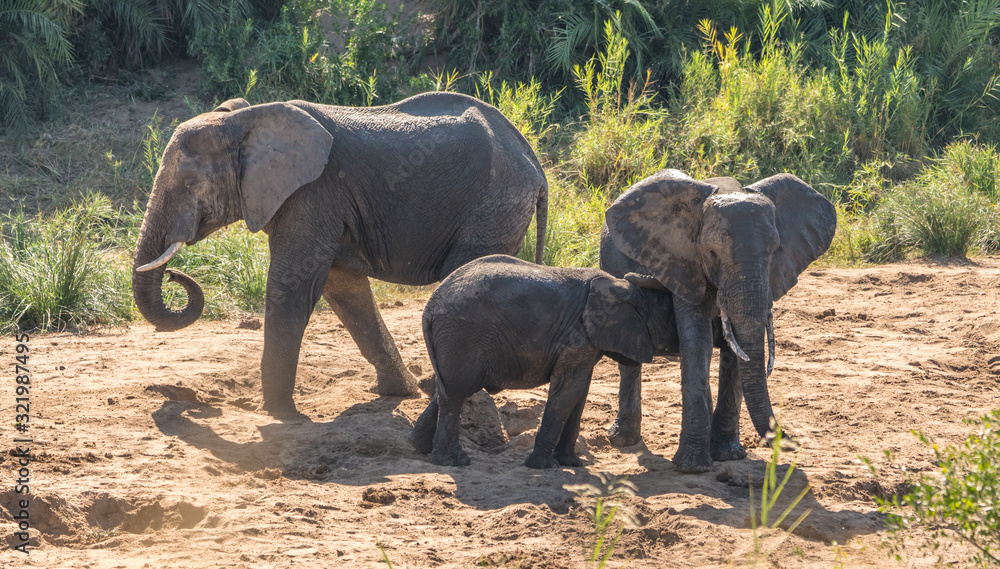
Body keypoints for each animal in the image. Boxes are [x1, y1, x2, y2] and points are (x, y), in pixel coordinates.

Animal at [132, 92, 548, 419]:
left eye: (190, 184)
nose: (174, 275)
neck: (244, 120)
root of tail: (534, 164)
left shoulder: (313, 192)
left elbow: (292, 286)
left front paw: (278, 414)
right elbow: (344, 288)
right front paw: (399, 393)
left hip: (495, 206)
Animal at [407, 254, 677, 469]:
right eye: (671, 316)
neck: (623, 288)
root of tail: (429, 307)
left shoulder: (585, 342)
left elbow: (579, 393)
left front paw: (572, 463)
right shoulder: (578, 336)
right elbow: (568, 391)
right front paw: (543, 466)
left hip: (455, 342)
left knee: (448, 389)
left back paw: (419, 446)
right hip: (463, 336)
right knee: (457, 393)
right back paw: (454, 461)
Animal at [600, 169, 836, 473]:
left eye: (775, 253)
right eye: (712, 253)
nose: (792, 442)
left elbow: (736, 353)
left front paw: (728, 455)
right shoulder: (684, 265)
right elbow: (697, 344)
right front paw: (692, 467)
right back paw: (622, 440)